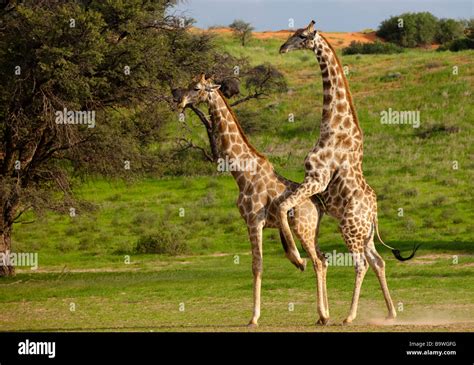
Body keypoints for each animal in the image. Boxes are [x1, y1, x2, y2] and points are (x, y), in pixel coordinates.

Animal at [175, 74, 330, 328]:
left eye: (196, 88)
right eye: (187, 84)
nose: (179, 100)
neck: (241, 172)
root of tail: (318, 205)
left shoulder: (254, 221)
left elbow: (257, 266)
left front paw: (254, 318)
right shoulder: (252, 222)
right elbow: (258, 265)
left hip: (302, 227)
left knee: (317, 261)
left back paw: (323, 313)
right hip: (312, 230)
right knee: (324, 260)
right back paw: (322, 315)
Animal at [278, 20, 418, 322]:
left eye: (302, 35)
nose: (282, 48)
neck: (333, 125)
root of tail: (374, 212)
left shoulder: (317, 179)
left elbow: (284, 205)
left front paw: (295, 257)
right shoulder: (312, 183)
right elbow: (284, 204)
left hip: (350, 228)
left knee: (362, 264)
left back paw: (350, 316)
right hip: (364, 233)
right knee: (378, 261)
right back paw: (391, 312)